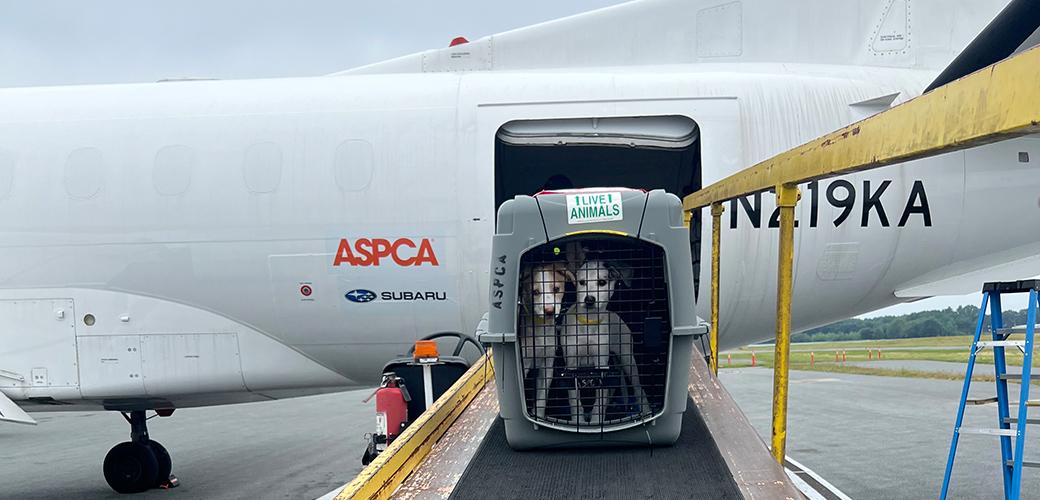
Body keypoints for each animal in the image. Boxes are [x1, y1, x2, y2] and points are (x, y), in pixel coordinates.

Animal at [517, 262, 574, 419]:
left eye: (556, 289)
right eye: (535, 292)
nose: (549, 310)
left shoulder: (547, 365)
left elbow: (542, 398)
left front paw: (538, 418)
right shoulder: (524, 364)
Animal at [561, 257, 648, 424]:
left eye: (602, 282)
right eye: (582, 282)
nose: (589, 300)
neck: (589, 323)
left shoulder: (601, 363)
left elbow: (599, 402)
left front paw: (595, 423)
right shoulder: (572, 365)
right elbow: (576, 402)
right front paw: (580, 423)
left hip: (627, 359)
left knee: (639, 390)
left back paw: (647, 412)